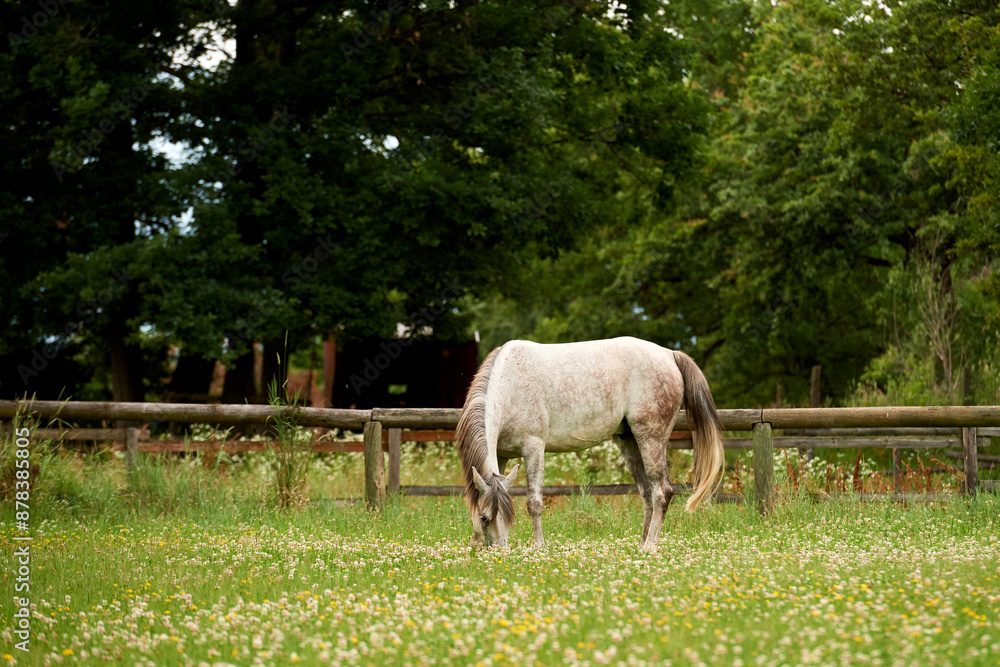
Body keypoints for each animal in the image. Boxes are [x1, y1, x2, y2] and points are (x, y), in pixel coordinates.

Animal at [456, 336, 724, 552]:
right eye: (484, 518)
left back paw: (650, 547)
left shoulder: (533, 448)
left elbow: (534, 503)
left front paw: (539, 548)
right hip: (629, 442)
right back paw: (641, 547)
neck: (510, 385)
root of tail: (670, 354)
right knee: (647, 494)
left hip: (651, 438)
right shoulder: (500, 456)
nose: (498, 552)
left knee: (662, 492)